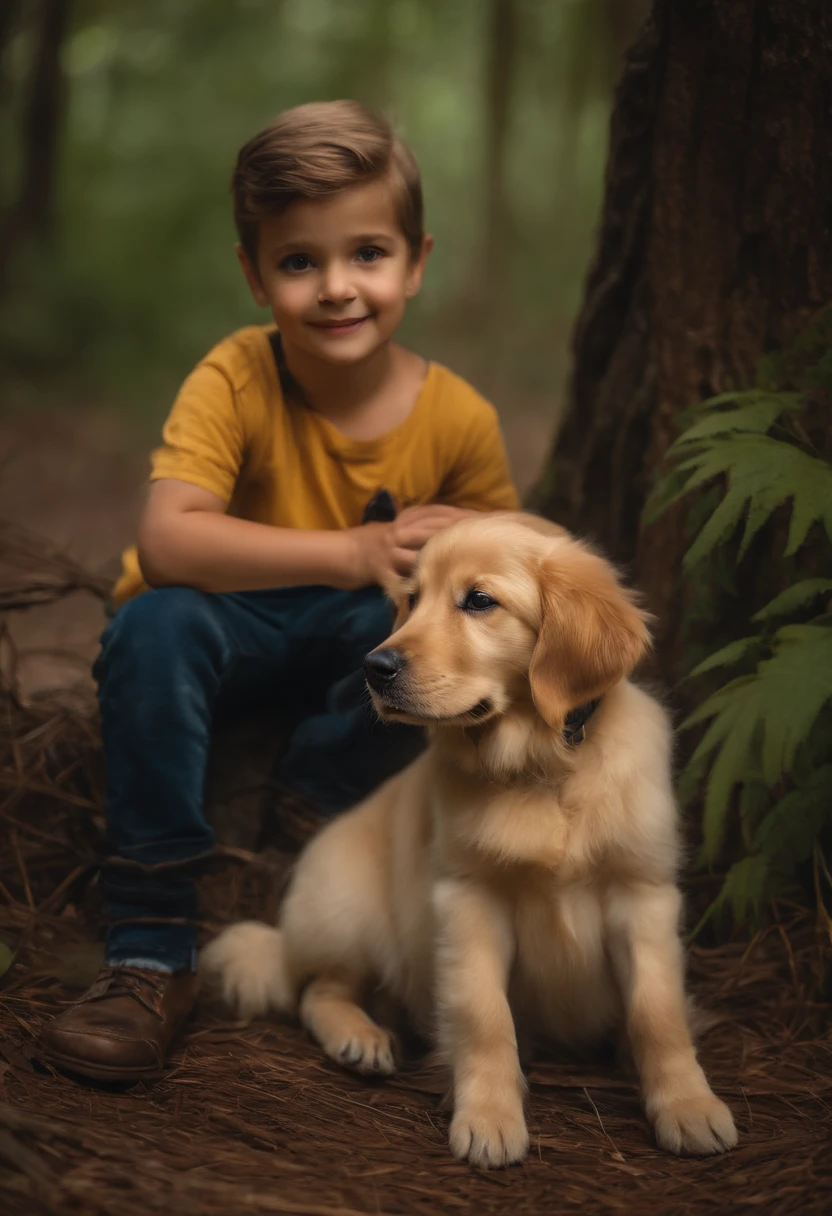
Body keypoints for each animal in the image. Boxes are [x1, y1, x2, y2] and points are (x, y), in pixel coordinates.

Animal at [201, 513, 734, 1167]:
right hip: (348, 912)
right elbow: (484, 1017)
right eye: (411, 600)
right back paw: (361, 1037)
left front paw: (689, 1105)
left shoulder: (644, 894)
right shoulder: (468, 899)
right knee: (318, 989)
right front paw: (489, 1118)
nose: (374, 667)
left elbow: (658, 1014)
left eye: (479, 600)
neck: (542, 764)